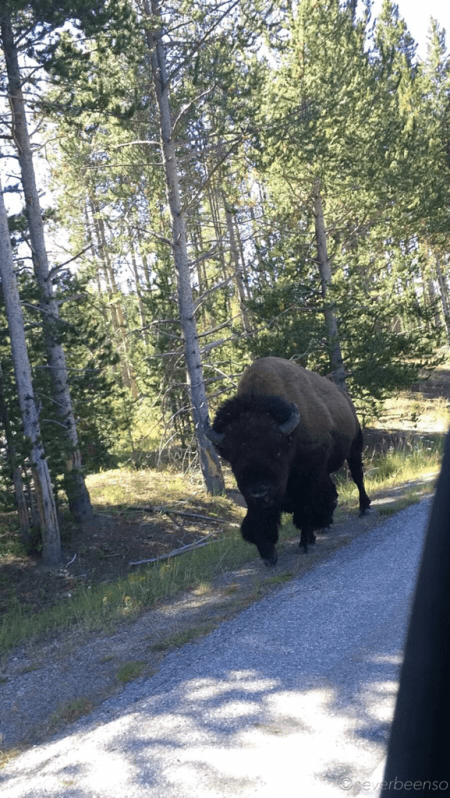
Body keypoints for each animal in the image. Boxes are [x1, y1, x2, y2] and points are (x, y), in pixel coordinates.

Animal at [206, 356, 371, 566]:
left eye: (276, 452)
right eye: (233, 459)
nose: (260, 492)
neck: (291, 437)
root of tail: (346, 398)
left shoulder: (308, 476)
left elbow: (305, 509)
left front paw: (305, 543)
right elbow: (259, 518)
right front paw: (269, 554)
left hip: (354, 448)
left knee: (357, 477)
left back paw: (364, 508)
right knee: (332, 491)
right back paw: (325, 524)